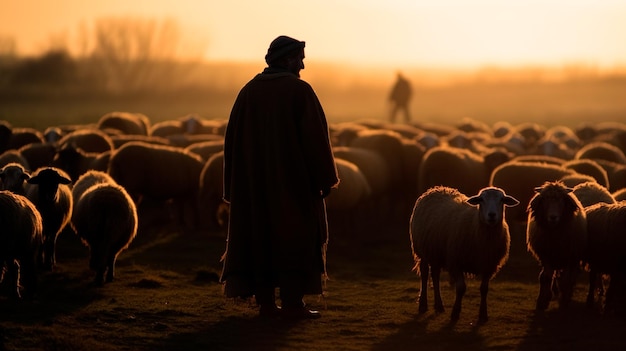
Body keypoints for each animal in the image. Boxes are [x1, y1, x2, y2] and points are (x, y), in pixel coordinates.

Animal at [408, 187, 520, 324]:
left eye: (502, 200)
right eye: (481, 199)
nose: (492, 215)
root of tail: (436, 189)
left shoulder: (489, 266)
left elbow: (484, 289)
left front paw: (483, 315)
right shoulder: (455, 262)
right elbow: (461, 288)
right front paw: (455, 313)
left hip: (436, 252)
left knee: (435, 275)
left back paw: (439, 306)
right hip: (422, 249)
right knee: (424, 274)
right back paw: (423, 305)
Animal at [528, 182, 584, 310]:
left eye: (562, 200)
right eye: (544, 199)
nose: (553, 217)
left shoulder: (569, 255)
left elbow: (566, 279)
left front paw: (564, 302)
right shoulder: (546, 255)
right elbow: (545, 277)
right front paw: (542, 301)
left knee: (571, 276)